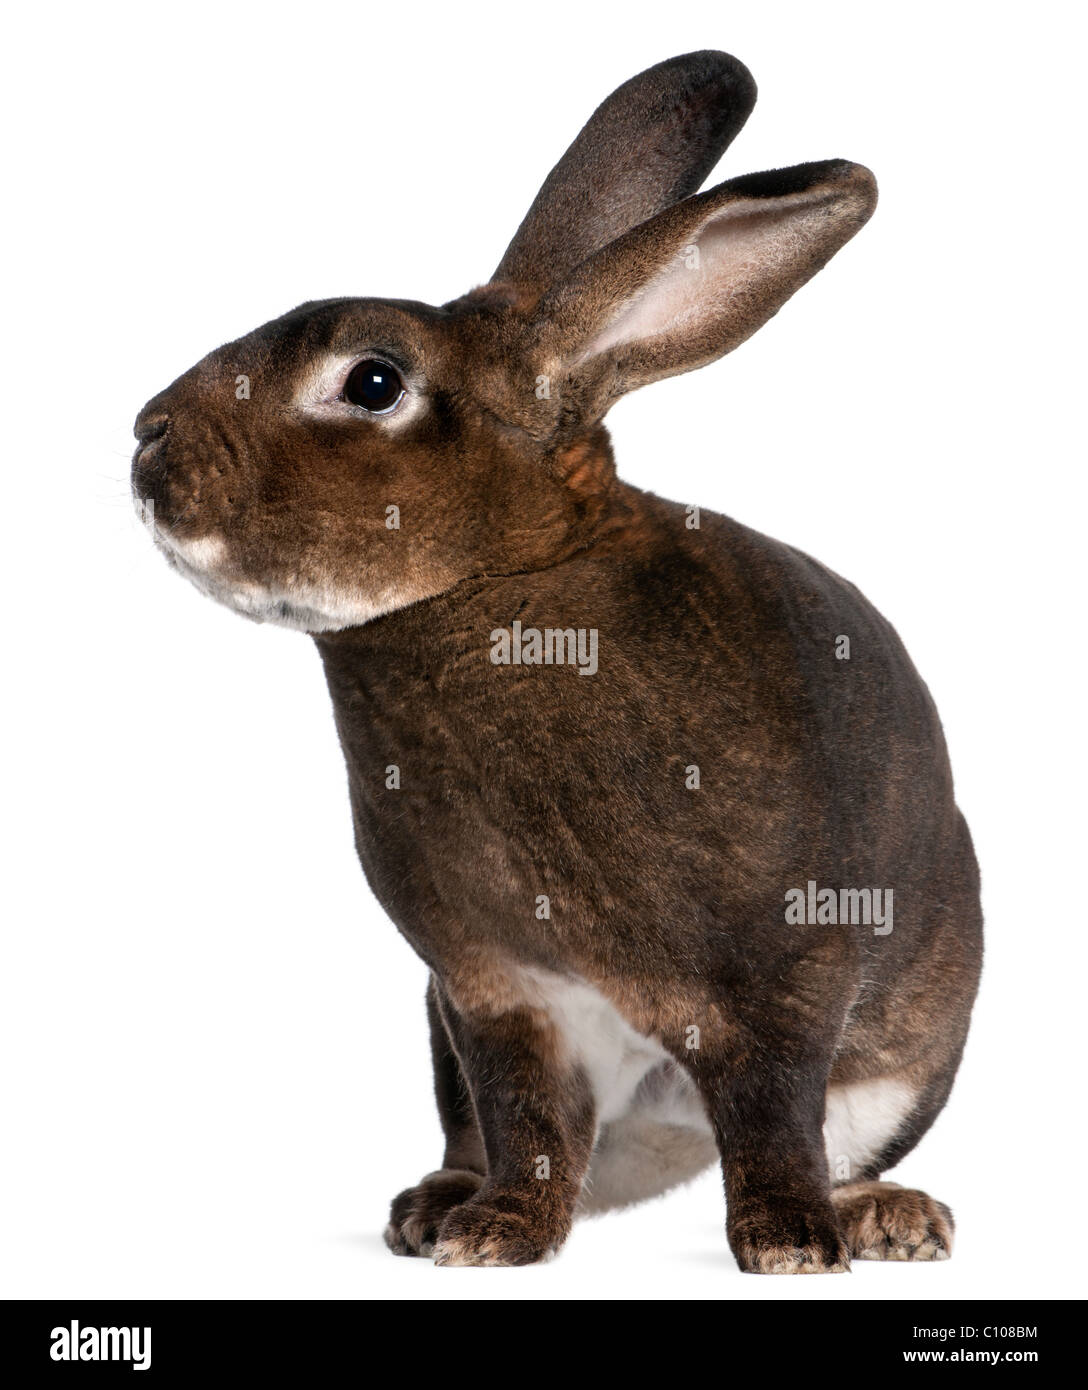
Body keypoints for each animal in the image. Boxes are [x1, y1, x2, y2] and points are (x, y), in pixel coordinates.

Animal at [132, 50, 982, 1273]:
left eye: (372, 382)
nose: (145, 438)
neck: (505, 585)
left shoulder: (780, 982)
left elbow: (774, 1111)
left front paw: (788, 1246)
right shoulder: (491, 993)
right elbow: (526, 1116)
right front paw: (495, 1238)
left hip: (913, 1042)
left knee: (836, 1136)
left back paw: (884, 1218)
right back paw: (436, 1204)